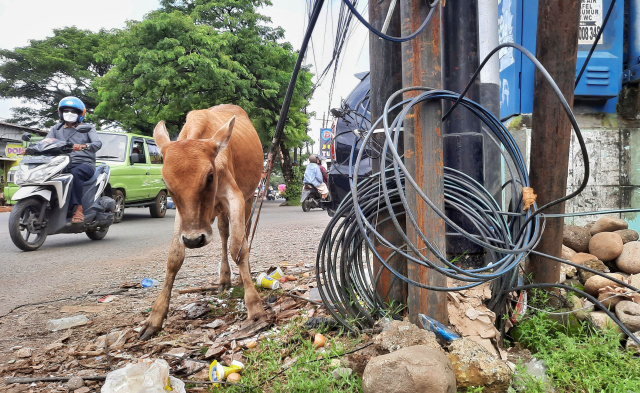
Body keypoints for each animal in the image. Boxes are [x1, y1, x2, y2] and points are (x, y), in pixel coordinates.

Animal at [140, 103, 264, 336]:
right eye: (167, 185)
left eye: (209, 177)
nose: (194, 240)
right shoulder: (183, 215)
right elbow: (174, 257)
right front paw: (155, 316)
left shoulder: (235, 197)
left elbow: (238, 247)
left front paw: (255, 308)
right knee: (224, 233)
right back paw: (224, 278)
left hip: (249, 197)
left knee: (243, 233)